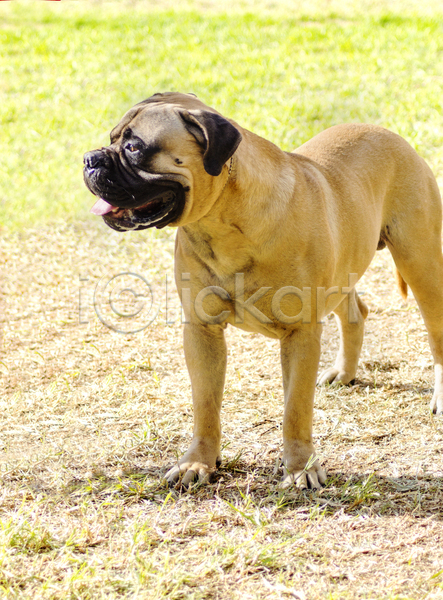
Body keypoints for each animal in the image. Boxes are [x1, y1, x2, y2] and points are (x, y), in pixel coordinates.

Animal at [83, 92, 443, 488]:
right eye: (113, 138)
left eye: (134, 147)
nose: (89, 159)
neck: (222, 222)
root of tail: (390, 135)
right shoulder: (202, 331)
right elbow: (205, 404)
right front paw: (199, 461)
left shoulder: (301, 334)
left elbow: (295, 409)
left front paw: (301, 467)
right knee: (354, 313)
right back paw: (344, 372)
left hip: (420, 263)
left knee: (435, 333)